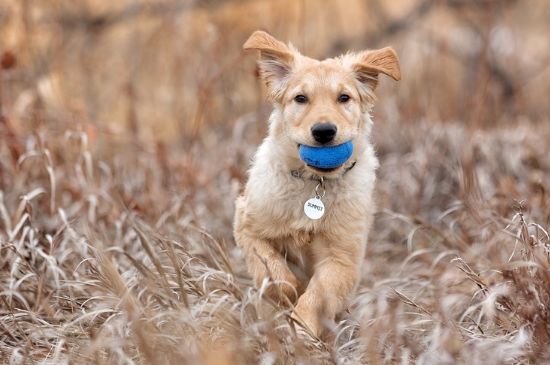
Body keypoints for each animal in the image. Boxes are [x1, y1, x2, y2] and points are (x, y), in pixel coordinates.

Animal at [234, 31, 402, 336]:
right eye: (301, 98)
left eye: (344, 97)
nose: (324, 131)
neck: (315, 183)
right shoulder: (247, 225)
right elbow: (273, 271)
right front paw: (289, 292)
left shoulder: (342, 257)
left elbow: (316, 295)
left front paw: (302, 331)